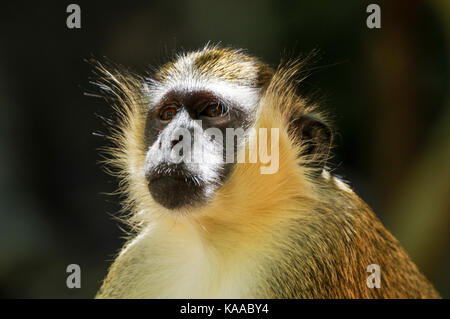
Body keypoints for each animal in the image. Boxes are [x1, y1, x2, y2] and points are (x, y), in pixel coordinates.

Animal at [94, 45, 440, 300]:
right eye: (167, 114)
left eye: (213, 111)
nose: (173, 138)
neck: (218, 240)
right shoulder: (140, 260)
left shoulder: (315, 245)